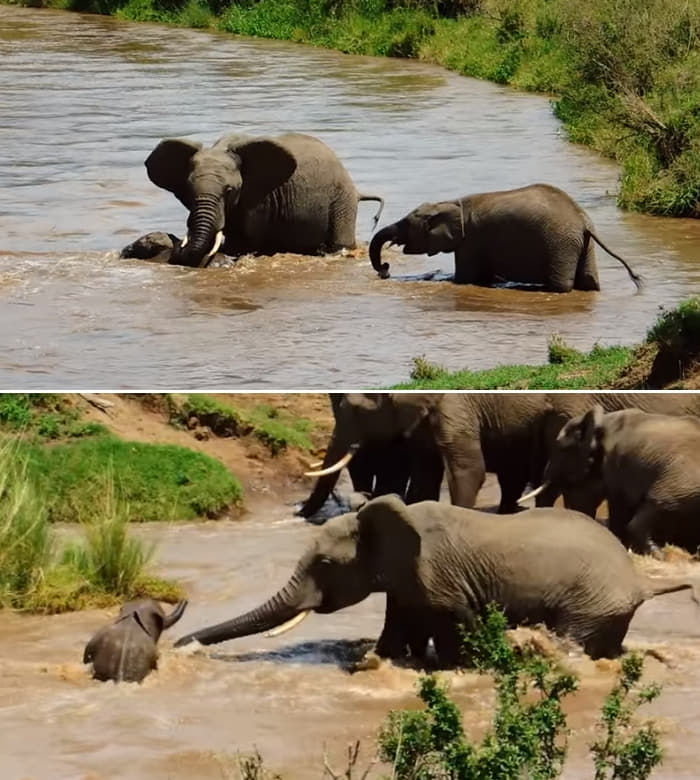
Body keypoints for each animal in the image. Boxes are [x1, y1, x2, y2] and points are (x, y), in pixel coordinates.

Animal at [141, 131, 382, 268]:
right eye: (188, 190)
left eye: (230, 190)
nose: (176, 243)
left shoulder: (260, 199)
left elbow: (244, 242)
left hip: (342, 201)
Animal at [176, 496, 696, 668]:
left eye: (324, 564)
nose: (182, 645)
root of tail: (638, 582)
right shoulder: (406, 581)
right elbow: (398, 629)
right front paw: (382, 660)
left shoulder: (439, 577)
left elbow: (452, 632)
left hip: (590, 603)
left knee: (573, 639)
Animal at [370, 183, 644, 292]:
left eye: (406, 224)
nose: (386, 269)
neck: (452, 203)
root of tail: (583, 221)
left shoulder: (471, 242)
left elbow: (465, 279)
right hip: (582, 245)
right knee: (589, 282)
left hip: (560, 244)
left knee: (561, 286)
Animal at [524, 408, 700, 556]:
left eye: (560, 448)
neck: (601, 420)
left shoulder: (616, 463)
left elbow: (616, 505)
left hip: (680, 484)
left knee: (656, 509)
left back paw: (659, 555)